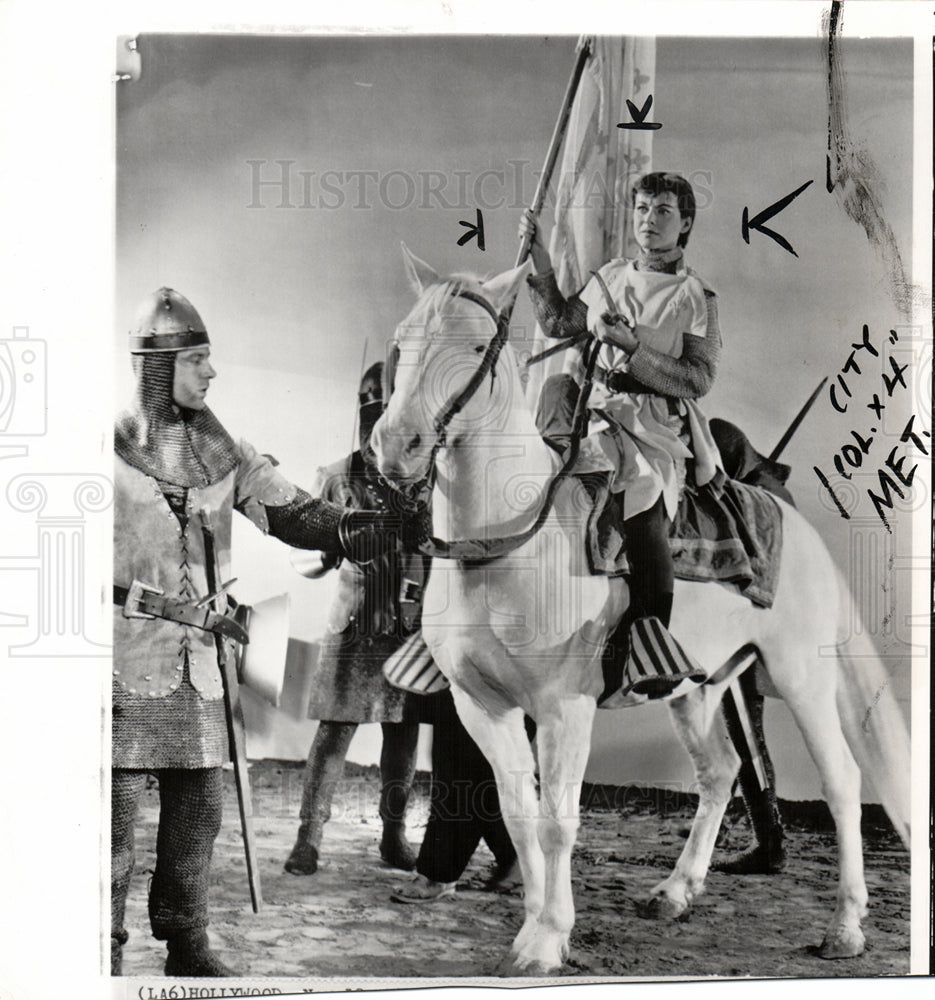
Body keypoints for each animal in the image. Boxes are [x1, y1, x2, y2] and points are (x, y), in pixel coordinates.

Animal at [370, 248, 912, 976]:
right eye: (402, 342)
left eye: (478, 347)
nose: (394, 447)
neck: (507, 539)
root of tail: (796, 525)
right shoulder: (480, 705)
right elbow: (517, 811)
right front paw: (534, 925)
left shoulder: (562, 707)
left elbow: (556, 820)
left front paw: (547, 938)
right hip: (701, 686)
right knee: (720, 773)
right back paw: (674, 893)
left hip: (800, 677)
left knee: (843, 783)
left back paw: (846, 927)